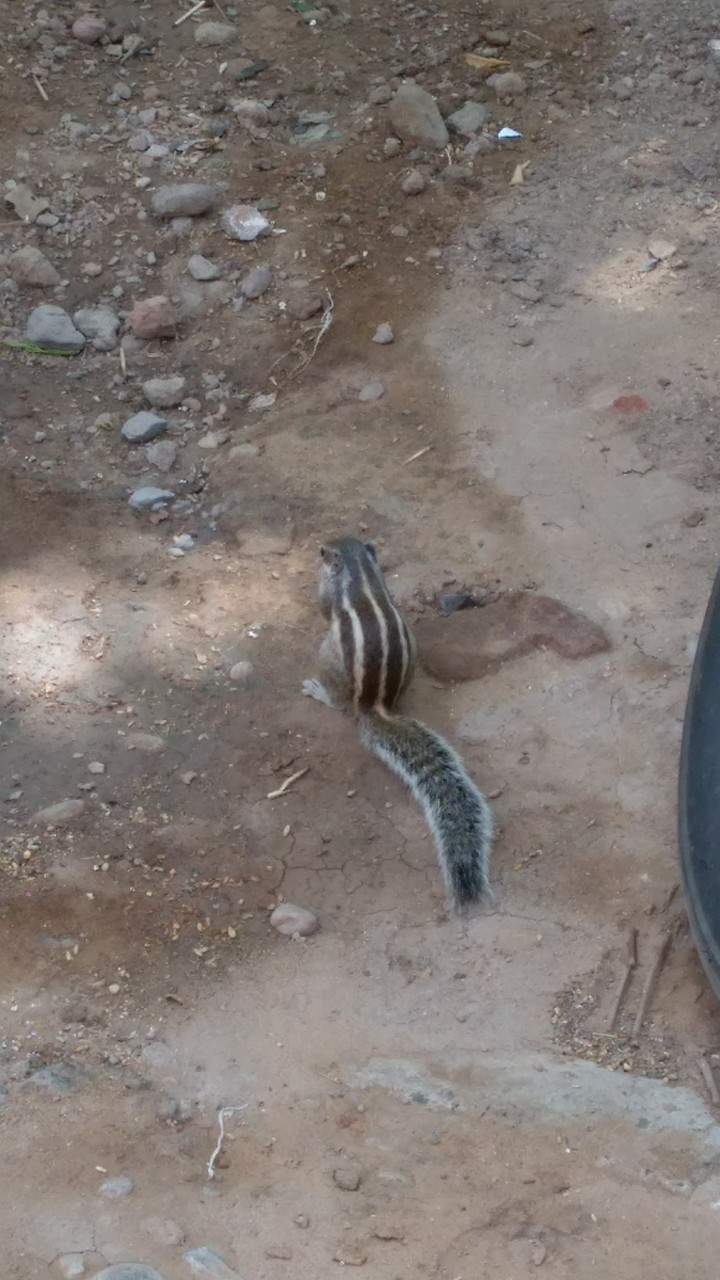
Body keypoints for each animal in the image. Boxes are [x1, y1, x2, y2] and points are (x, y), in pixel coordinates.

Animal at [302, 536, 493, 911]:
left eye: (323, 551)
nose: (317, 550)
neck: (359, 570)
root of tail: (374, 705)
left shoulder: (328, 592)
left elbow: (323, 607)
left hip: (328, 657)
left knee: (337, 701)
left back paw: (320, 692)